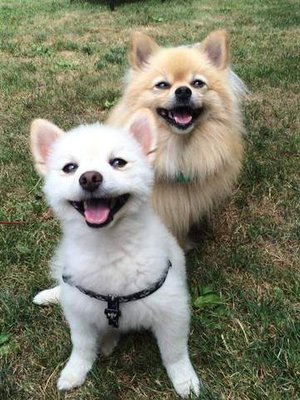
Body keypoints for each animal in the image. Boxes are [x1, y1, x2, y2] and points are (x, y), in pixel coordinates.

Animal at [30, 110, 200, 396]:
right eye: (70, 168)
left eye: (118, 162)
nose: (89, 178)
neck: (109, 247)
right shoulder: (79, 313)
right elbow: (81, 347)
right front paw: (75, 372)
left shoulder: (171, 309)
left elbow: (174, 353)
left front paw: (184, 380)